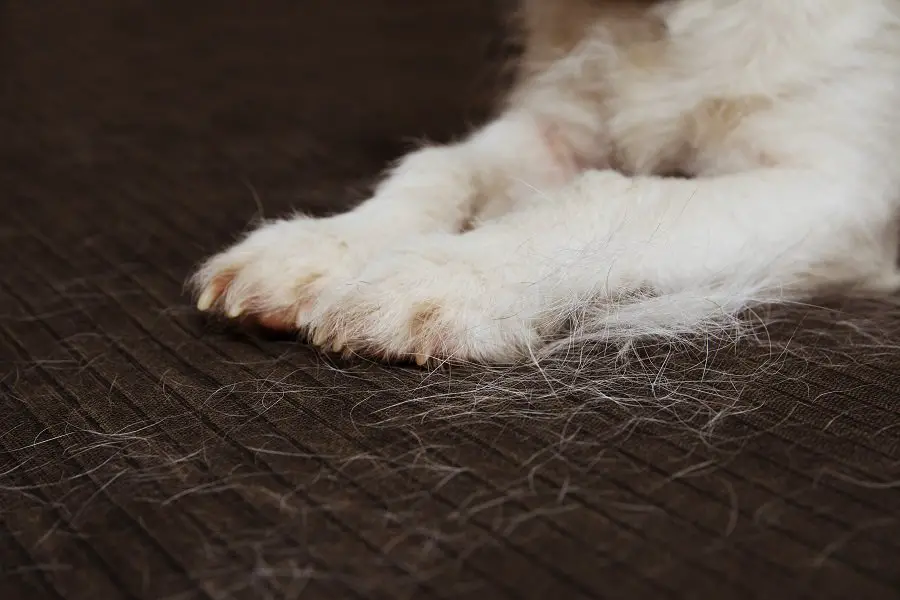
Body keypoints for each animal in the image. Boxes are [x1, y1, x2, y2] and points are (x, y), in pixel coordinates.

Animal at [190, 1, 900, 366]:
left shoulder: (836, 189)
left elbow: (615, 197)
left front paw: (442, 279)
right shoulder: (555, 128)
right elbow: (439, 167)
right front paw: (319, 249)